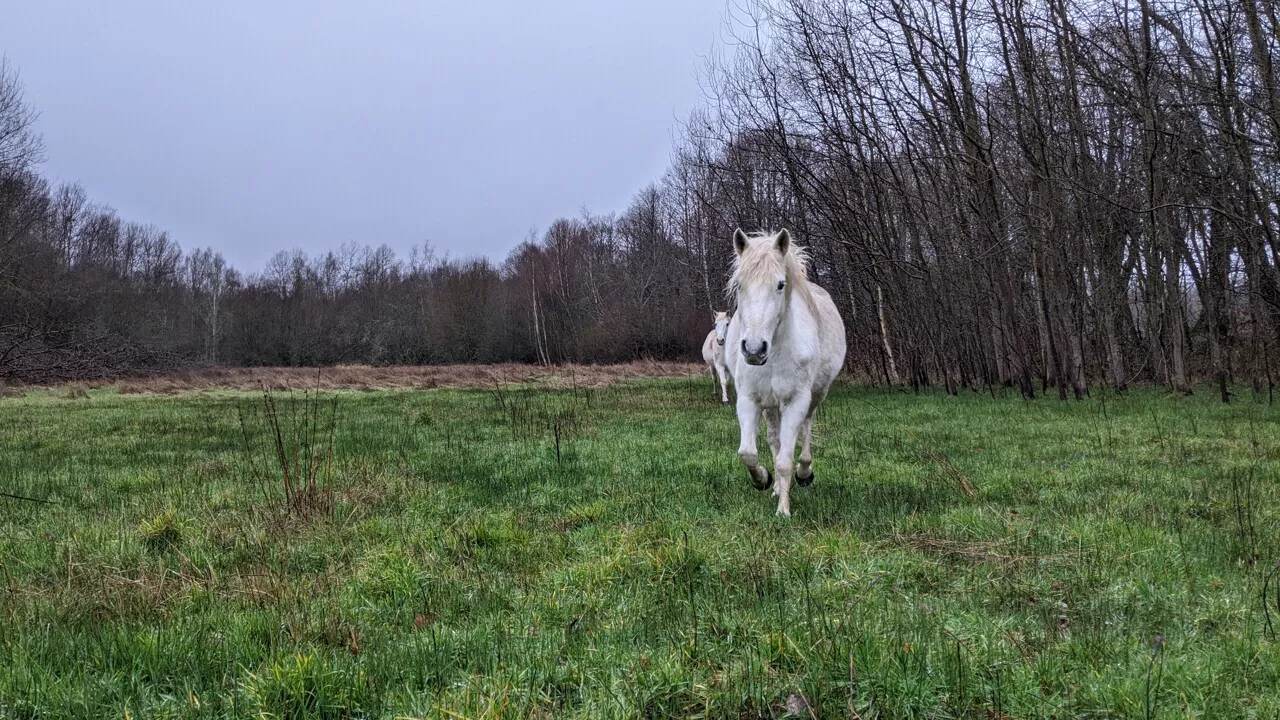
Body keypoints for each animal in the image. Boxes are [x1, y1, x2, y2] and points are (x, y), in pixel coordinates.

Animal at [727, 226, 844, 512]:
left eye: (780, 285)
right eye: (739, 284)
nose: (754, 349)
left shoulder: (795, 402)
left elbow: (785, 460)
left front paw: (783, 511)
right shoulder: (749, 400)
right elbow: (748, 453)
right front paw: (763, 480)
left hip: (815, 396)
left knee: (805, 432)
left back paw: (803, 474)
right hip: (770, 406)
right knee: (774, 439)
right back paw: (777, 487)